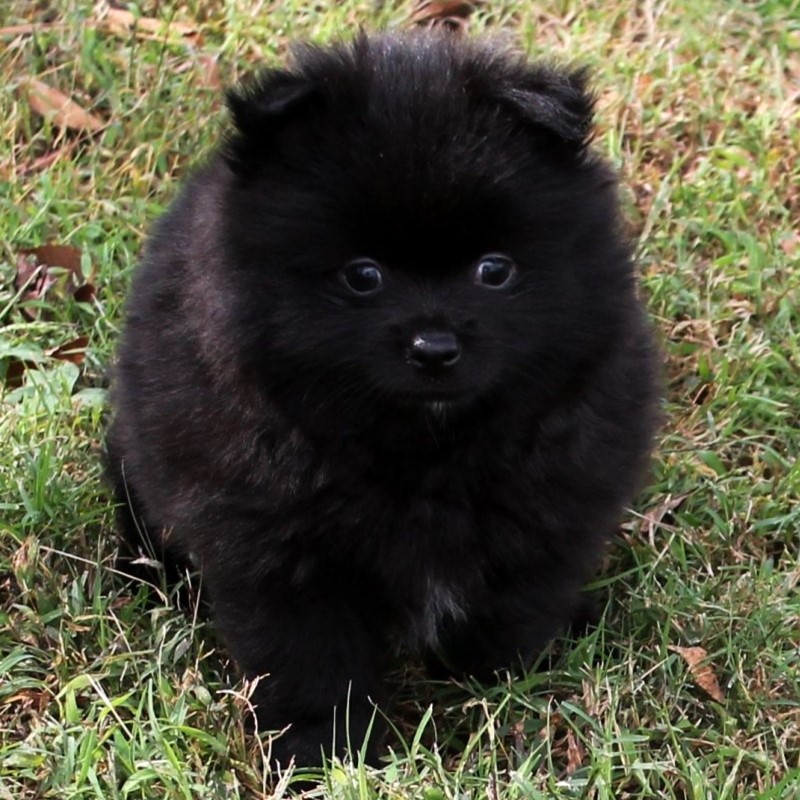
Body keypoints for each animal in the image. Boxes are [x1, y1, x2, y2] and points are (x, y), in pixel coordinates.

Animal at [104, 32, 656, 776]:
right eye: (362, 276)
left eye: (495, 270)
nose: (435, 346)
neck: (424, 447)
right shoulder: (281, 547)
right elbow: (308, 655)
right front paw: (321, 752)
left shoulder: (550, 503)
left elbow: (509, 611)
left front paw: (494, 688)